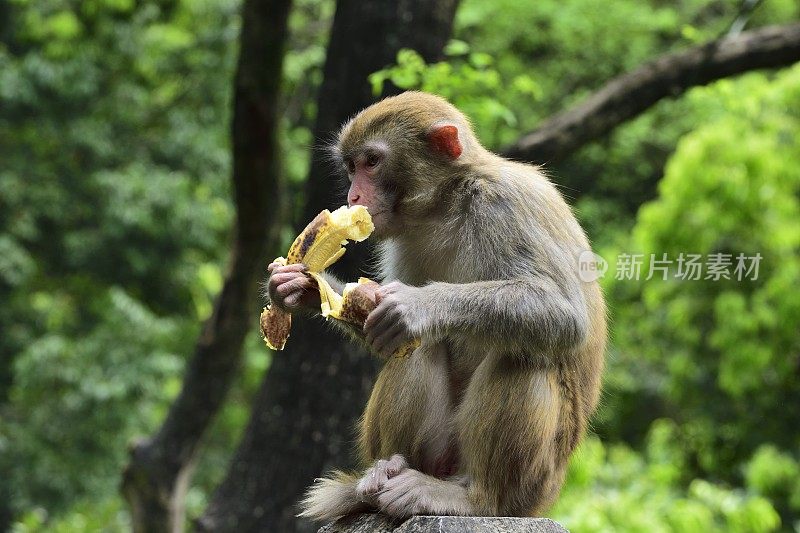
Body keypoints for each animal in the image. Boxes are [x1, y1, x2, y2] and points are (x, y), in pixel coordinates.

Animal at [268, 90, 608, 520]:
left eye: (372, 162)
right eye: (351, 166)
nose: (353, 197)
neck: (446, 203)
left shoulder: (507, 202)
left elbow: (565, 313)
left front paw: (417, 305)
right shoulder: (403, 238)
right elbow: (378, 326)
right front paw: (300, 288)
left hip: (534, 486)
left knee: (523, 356)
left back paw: (475, 498)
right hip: (441, 451)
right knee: (415, 346)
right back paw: (387, 472)